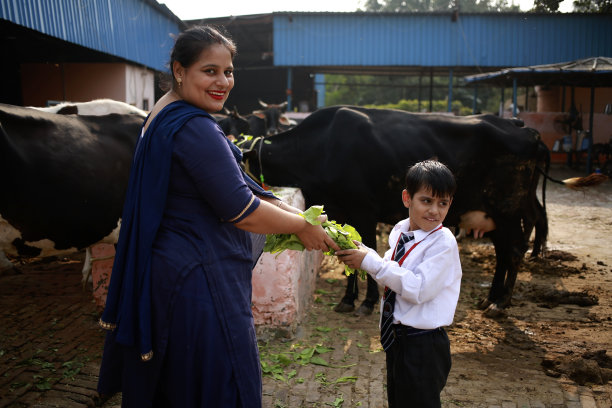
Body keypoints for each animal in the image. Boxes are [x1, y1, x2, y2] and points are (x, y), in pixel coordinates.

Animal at [240, 104, 604, 316]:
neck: (322, 145)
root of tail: (527, 130)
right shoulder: (340, 210)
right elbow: (344, 250)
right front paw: (348, 299)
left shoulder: (363, 208)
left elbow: (365, 249)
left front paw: (367, 302)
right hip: (497, 213)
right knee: (503, 252)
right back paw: (490, 298)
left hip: (508, 207)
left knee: (514, 249)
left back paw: (501, 304)